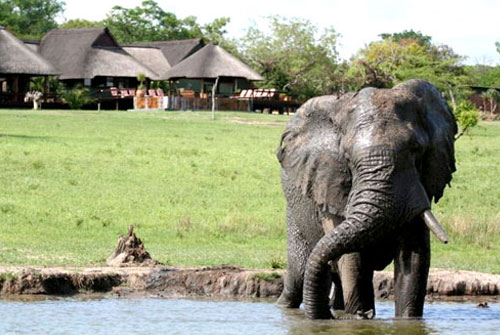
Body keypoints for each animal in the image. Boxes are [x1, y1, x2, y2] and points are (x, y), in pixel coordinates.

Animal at [278, 79, 458, 320]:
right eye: (346, 158)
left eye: (417, 151)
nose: (365, 314)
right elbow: (352, 259)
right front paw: (358, 317)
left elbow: (414, 257)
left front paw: (407, 321)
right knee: (300, 271)